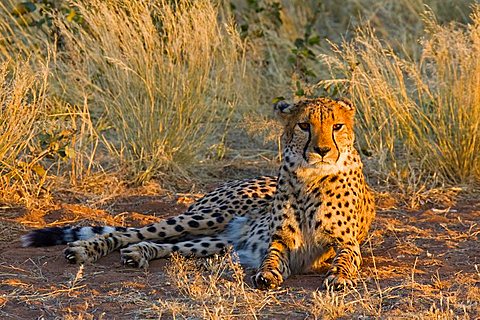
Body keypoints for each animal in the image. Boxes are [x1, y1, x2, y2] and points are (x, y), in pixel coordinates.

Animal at [22, 97, 376, 290]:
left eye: (337, 126)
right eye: (304, 125)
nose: (322, 150)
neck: (311, 175)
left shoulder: (344, 243)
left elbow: (346, 258)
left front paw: (340, 278)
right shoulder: (280, 240)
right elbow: (273, 256)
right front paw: (267, 273)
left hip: (220, 241)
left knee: (169, 246)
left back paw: (139, 254)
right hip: (207, 218)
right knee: (130, 233)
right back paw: (85, 249)